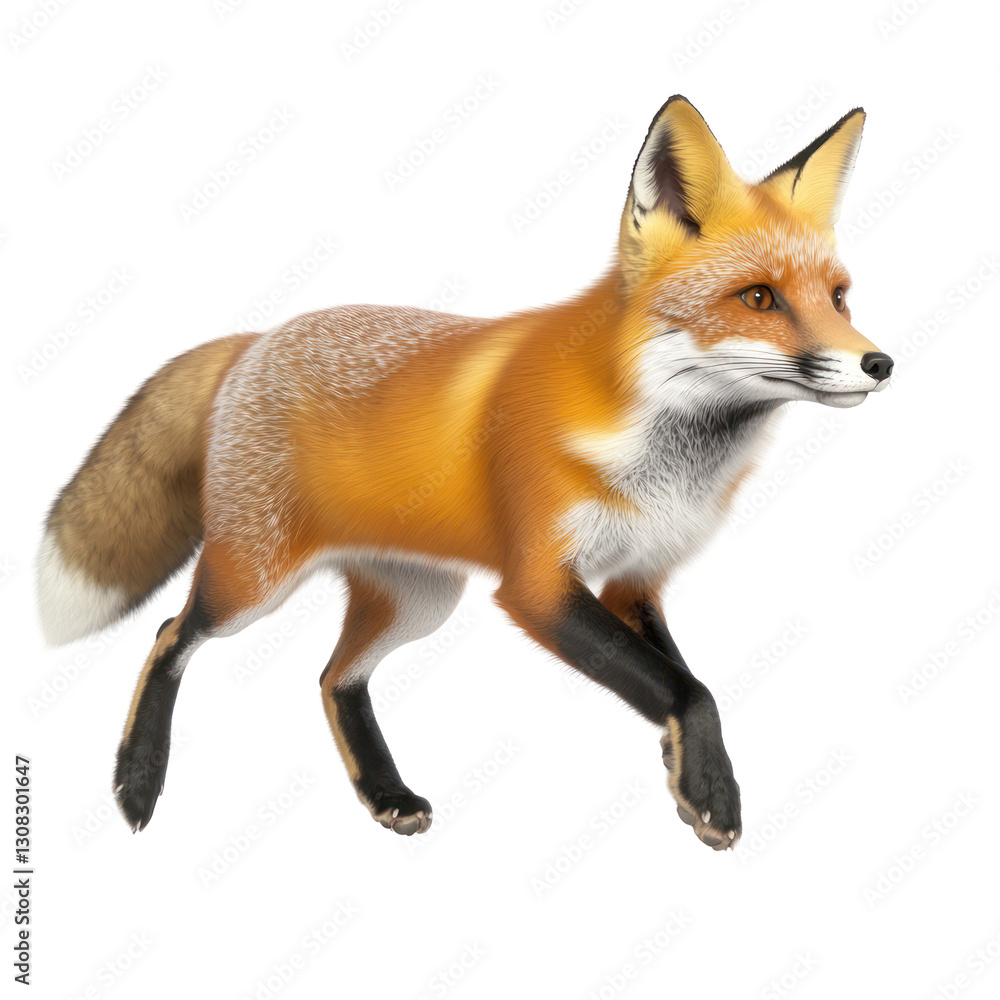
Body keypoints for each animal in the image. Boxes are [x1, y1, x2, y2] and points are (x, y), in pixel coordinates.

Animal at [37, 96, 892, 850]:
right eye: (759, 298)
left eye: (839, 298)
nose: (879, 363)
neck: (665, 455)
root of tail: (258, 339)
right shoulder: (538, 583)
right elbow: (689, 689)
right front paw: (711, 790)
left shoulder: (636, 578)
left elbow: (678, 679)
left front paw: (687, 771)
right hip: (255, 580)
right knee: (170, 635)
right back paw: (137, 780)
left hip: (417, 600)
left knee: (334, 678)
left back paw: (385, 794)